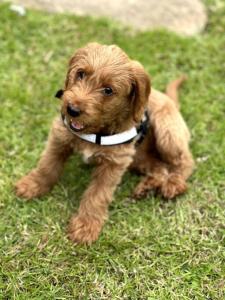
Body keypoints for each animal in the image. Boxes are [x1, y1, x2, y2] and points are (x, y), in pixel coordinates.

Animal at [15, 42, 193, 244]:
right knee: (160, 167)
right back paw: (147, 186)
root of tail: (171, 101)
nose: (72, 109)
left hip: (167, 133)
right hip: (138, 158)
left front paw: (85, 226)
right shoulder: (60, 137)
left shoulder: (114, 163)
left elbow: (97, 195)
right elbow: (47, 166)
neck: (95, 130)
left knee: (185, 161)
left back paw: (174, 184)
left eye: (108, 90)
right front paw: (32, 185)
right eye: (81, 74)